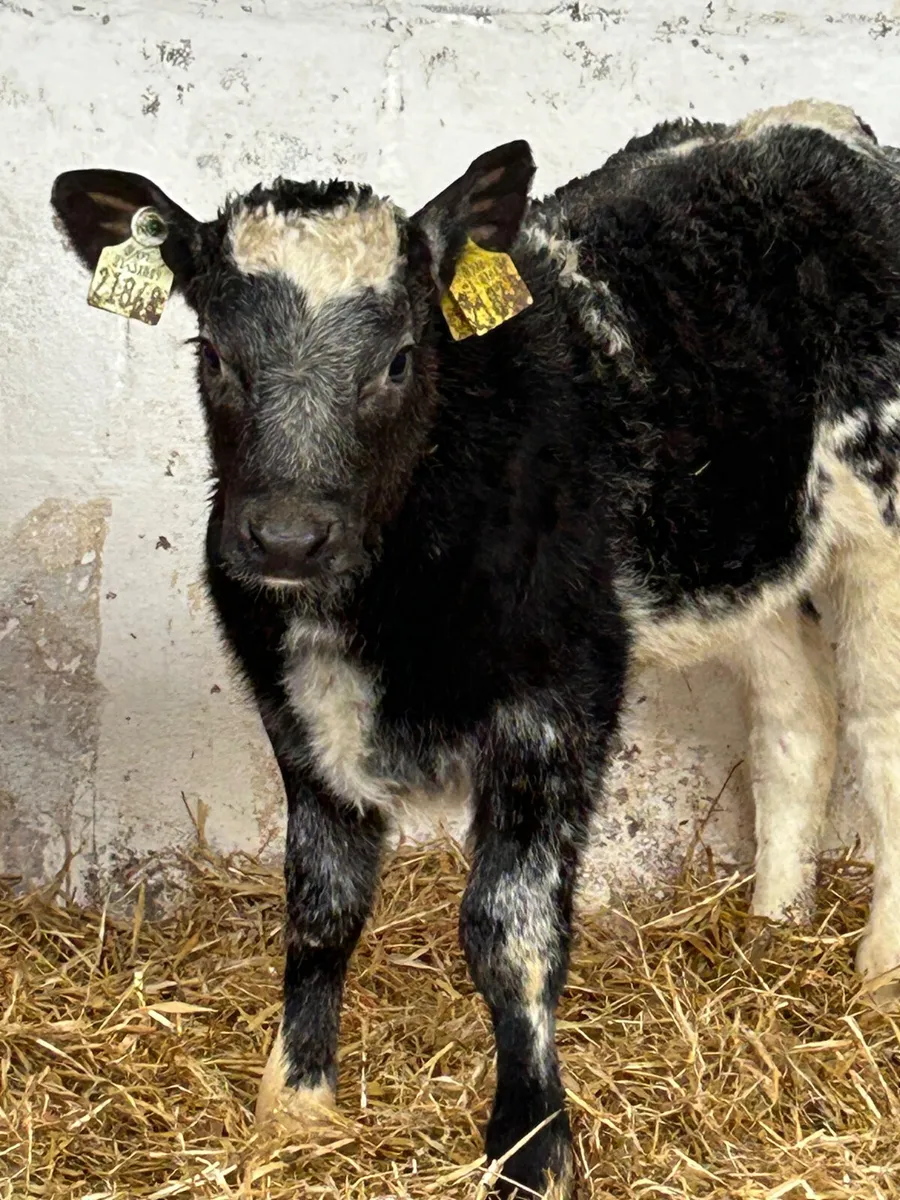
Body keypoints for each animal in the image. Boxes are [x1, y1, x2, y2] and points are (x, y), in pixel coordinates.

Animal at [51, 99, 900, 1198]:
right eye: (214, 358)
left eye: (402, 359)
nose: (285, 538)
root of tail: (812, 125)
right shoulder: (297, 704)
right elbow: (320, 902)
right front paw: (296, 1107)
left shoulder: (559, 700)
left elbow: (510, 931)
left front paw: (531, 1147)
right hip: (741, 556)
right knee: (797, 721)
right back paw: (770, 927)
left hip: (884, 529)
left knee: (882, 739)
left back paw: (881, 974)